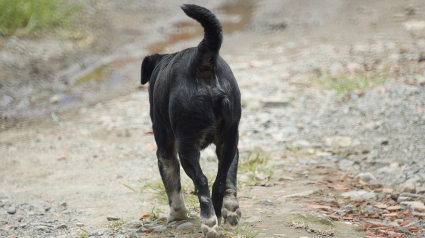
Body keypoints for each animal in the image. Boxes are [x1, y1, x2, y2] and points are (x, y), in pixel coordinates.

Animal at [141, 3, 240, 238]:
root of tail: (202, 62)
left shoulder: (165, 151)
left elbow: (173, 188)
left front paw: (176, 215)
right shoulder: (232, 144)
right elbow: (230, 177)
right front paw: (231, 209)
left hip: (186, 146)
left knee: (202, 180)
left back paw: (208, 222)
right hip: (229, 138)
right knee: (219, 180)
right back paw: (218, 215)